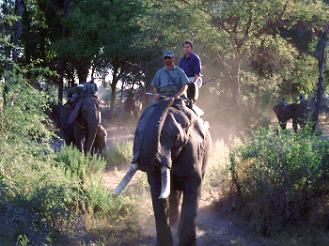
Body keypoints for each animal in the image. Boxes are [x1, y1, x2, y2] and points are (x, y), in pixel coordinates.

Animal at [115, 98, 210, 246]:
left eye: (176, 137)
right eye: (136, 133)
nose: (168, 98)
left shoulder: (193, 149)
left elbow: (192, 185)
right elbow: (156, 186)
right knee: (173, 191)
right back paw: (174, 223)